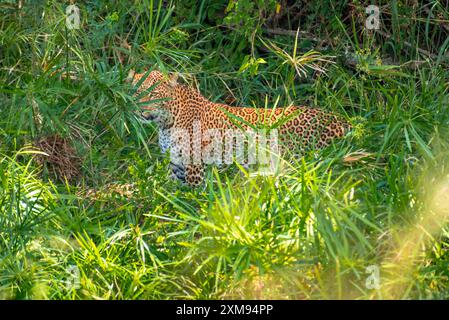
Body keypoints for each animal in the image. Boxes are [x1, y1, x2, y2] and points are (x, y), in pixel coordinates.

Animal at [127, 69, 350, 186]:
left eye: (153, 94)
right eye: (136, 92)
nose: (139, 110)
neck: (166, 123)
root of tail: (344, 121)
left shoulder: (195, 169)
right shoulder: (176, 167)